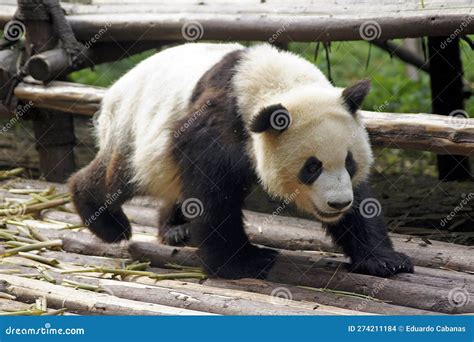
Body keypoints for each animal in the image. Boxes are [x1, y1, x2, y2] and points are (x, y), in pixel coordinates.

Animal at [68, 42, 412, 278]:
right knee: (117, 177)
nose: (338, 203)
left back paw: (175, 228)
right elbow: (212, 192)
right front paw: (245, 262)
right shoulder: (218, 122)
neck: (278, 83)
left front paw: (385, 260)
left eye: (349, 163)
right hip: (133, 128)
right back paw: (104, 219)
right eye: (311, 167)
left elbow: (363, 200)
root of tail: (113, 90)